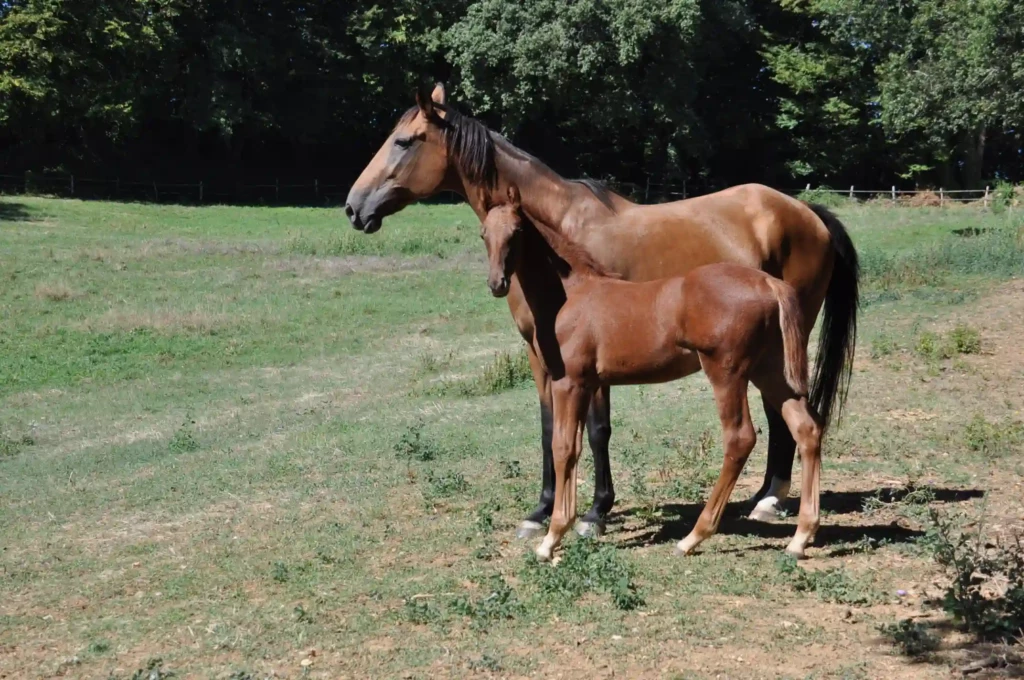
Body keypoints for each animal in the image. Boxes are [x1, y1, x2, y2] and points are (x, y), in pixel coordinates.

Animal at [481, 187, 823, 560]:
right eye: (484, 234)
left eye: (517, 232)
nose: (497, 283)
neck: (573, 293)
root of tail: (769, 283)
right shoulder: (589, 384)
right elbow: (577, 445)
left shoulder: (569, 382)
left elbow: (563, 448)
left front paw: (551, 537)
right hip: (770, 370)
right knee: (806, 428)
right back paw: (800, 537)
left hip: (727, 372)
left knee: (740, 438)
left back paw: (694, 536)